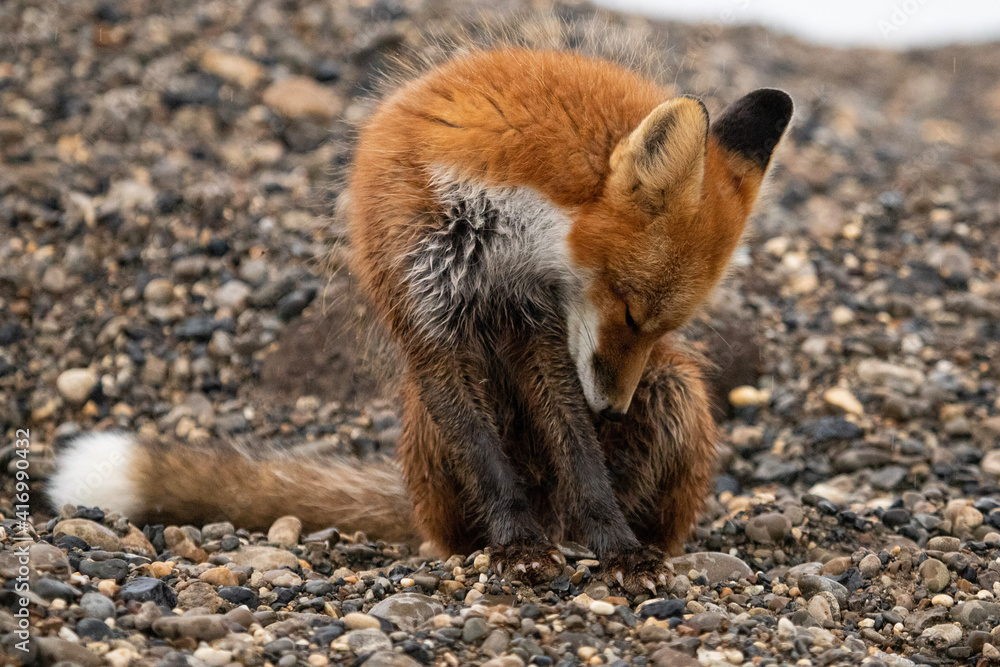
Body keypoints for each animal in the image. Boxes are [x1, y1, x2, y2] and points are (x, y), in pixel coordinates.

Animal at [47, 46, 791, 594]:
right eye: (631, 309)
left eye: (661, 326)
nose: (610, 409)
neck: (497, 227)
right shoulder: (427, 314)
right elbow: (491, 466)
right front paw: (517, 548)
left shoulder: (537, 320)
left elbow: (581, 457)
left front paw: (618, 547)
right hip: (425, 429)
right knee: (467, 519)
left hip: (673, 388)